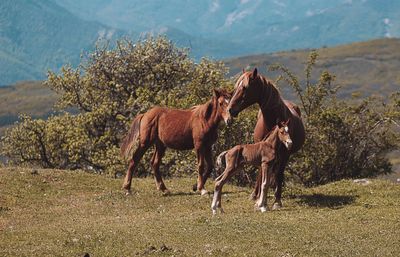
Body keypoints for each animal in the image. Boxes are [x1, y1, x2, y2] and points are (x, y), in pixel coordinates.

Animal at [227, 68, 304, 210]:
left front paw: (277, 201)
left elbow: (279, 175)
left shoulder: (285, 155)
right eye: (235, 88)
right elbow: (262, 174)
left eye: (245, 87)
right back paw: (255, 194)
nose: (230, 109)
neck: (272, 120)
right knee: (261, 172)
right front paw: (259, 198)